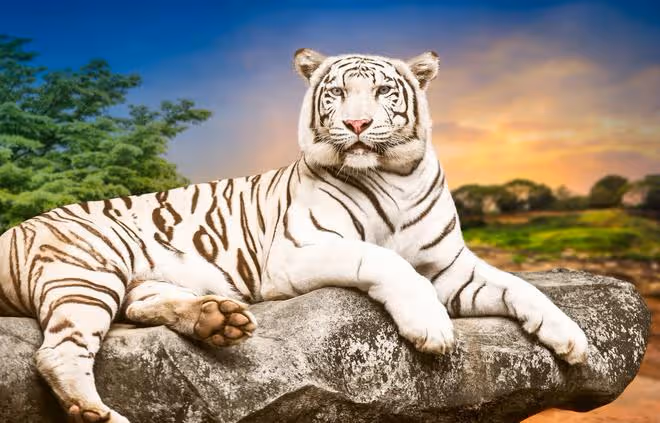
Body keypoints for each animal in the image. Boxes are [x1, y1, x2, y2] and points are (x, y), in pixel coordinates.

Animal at [0, 49, 588, 423]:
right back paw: (97, 411)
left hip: (131, 279)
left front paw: (573, 340)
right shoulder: (298, 252)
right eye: (336, 94)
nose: (356, 125)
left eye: (382, 91)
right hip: (90, 268)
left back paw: (218, 320)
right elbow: (386, 262)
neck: (395, 174)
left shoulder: (451, 267)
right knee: (57, 353)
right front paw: (432, 329)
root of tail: (16, 227)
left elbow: (521, 287)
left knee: (140, 305)